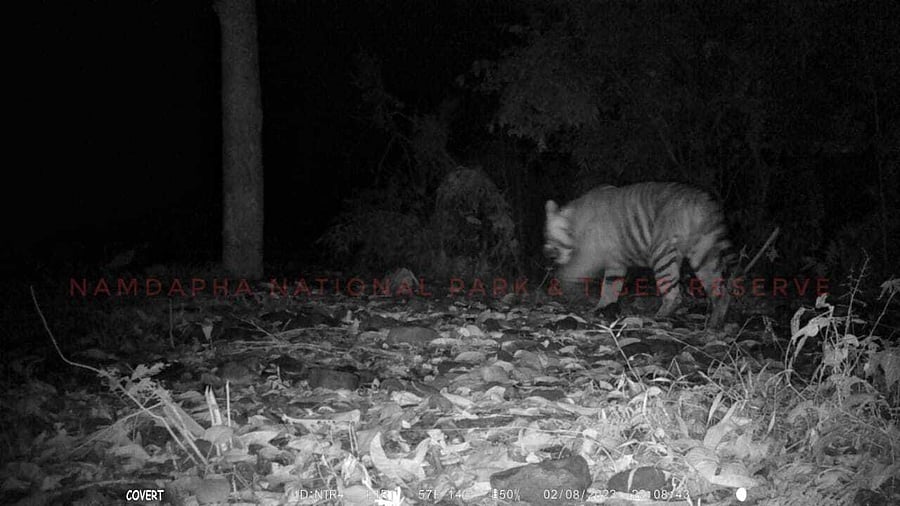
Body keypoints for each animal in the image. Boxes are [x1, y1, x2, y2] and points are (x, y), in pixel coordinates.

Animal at [544, 182, 733, 327]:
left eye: (552, 236)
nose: (547, 253)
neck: (576, 222)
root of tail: (702, 201)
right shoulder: (615, 263)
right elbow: (610, 287)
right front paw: (602, 307)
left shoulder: (589, 256)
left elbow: (571, 272)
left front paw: (563, 287)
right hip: (705, 255)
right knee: (720, 292)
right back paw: (715, 324)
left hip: (661, 253)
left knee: (674, 294)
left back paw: (658, 317)